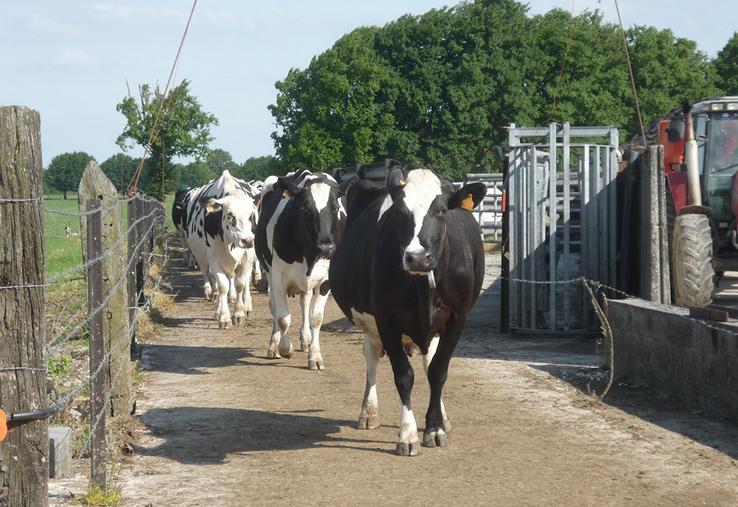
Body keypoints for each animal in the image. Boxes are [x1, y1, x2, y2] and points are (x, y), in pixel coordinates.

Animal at [177, 170, 261, 328]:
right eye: (230, 215)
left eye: (251, 215)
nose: (247, 241)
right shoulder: (214, 258)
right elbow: (222, 286)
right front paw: (224, 317)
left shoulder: (247, 257)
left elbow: (240, 284)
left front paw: (239, 313)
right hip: (201, 257)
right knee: (208, 275)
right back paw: (213, 298)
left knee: (244, 281)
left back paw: (246, 305)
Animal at [255, 170, 352, 369]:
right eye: (306, 209)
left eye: (335, 209)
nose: (326, 247)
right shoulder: (277, 275)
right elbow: (283, 318)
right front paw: (285, 348)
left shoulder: (326, 279)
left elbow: (317, 318)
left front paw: (315, 356)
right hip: (269, 274)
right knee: (275, 308)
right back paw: (274, 345)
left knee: (305, 301)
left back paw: (306, 339)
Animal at [329, 166, 487, 456]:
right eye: (400, 212)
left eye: (442, 210)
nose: (417, 257)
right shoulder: (385, 318)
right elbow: (404, 376)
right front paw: (408, 435)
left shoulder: (458, 317)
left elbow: (438, 371)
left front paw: (434, 428)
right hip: (370, 323)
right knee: (371, 357)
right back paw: (368, 412)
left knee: (429, 361)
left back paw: (443, 418)